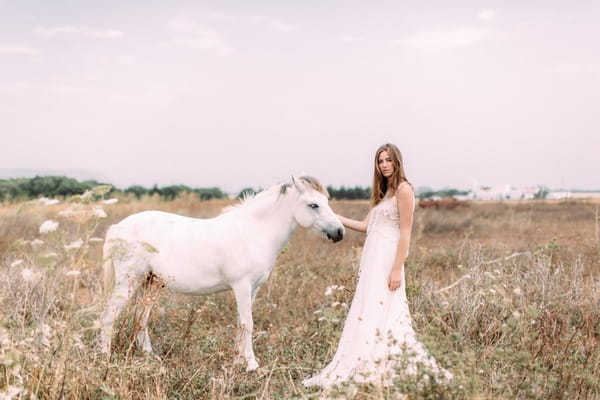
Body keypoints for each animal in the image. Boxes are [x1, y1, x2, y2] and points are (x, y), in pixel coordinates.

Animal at [101, 177, 344, 370]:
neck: (253, 232)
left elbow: (241, 323)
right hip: (129, 283)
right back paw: (105, 357)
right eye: (313, 205)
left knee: (140, 318)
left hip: (151, 283)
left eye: (327, 202)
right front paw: (251, 365)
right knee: (110, 316)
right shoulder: (242, 286)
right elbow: (248, 324)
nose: (339, 232)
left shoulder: (252, 289)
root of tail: (117, 228)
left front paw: (238, 362)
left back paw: (150, 357)